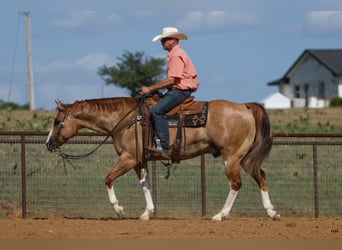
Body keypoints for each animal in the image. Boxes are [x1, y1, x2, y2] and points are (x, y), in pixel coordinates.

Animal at [45, 96, 280, 221]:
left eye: (57, 122)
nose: (48, 144)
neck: (126, 120)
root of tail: (244, 106)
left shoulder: (128, 158)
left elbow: (108, 178)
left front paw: (119, 209)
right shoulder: (139, 161)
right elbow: (145, 184)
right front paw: (147, 213)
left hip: (231, 157)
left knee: (236, 184)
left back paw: (220, 215)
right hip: (244, 158)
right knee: (261, 176)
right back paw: (272, 212)